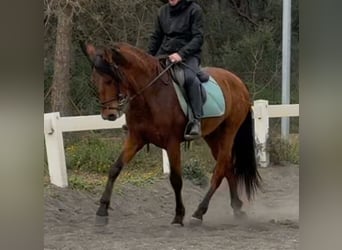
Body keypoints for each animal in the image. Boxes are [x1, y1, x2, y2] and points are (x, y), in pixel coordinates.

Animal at [81, 42, 260, 226]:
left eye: (112, 79)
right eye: (94, 81)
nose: (108, 115)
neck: (151, 94)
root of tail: (237, 81)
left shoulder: (171, 143)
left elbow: (176, 179)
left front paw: (179, 215)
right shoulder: (135, 139)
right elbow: (115, 169)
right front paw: (102, 210)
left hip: (228, 132)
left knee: (220, 170)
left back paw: (199, 212)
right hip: (212, 135)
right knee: (228, 167)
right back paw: (237, 207)